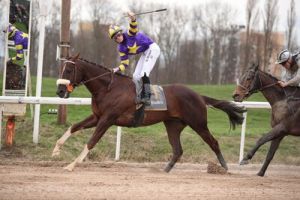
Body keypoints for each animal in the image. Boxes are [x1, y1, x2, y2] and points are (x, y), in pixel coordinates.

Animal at [53, 54, 246, 172]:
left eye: (68, 70)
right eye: (61, 69)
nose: (60, 91)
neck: (108, 88)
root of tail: (198, 95)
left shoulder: (107, 119)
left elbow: (91, 141)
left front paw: (71, 165)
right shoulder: (97, 117)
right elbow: (73, 127)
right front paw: (56, 150)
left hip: (198, 123)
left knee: (213, 142)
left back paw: (224, 168)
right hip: (173, 125)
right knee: (178, 150)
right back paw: (165, 170)